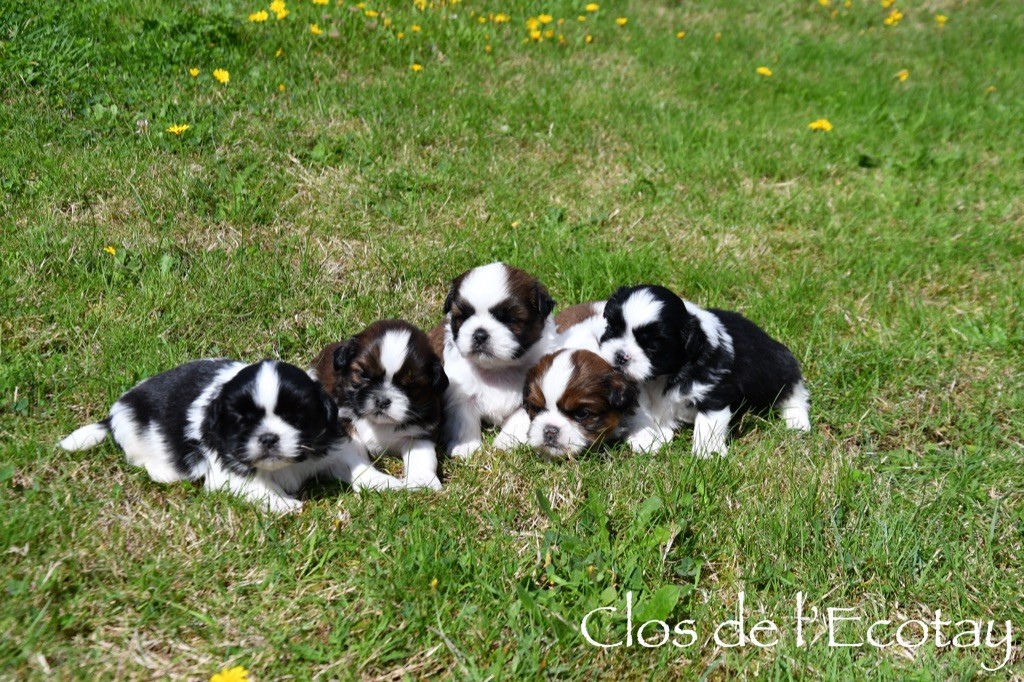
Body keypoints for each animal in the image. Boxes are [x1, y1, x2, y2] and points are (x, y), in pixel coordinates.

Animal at [55, 356, 399, 509]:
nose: (269, 438)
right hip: (135, 432)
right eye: (242, 421)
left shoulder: (329, 446)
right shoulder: (224, 469)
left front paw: (387, 483)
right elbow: (255, 485)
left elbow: (356, 466)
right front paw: (284, 504)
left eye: (296, 417)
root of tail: (113, 416)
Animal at [311, 319, 448, 489]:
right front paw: (379, 482)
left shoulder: (419, 432)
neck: (379, 424)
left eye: (410, 385)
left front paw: (421, 481)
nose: (382, 400)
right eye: (363, 375)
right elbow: (354, 460)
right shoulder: (344, 429)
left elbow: (422, 457)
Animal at [428, 260, 557, 456]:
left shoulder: (531, 395)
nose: (480, 335)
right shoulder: (460, 394)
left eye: (510, 319)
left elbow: (519, 418)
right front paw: (465, 447)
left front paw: (506, 442)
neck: (497, 368)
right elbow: (463, 421)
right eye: (464, 316)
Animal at [598, 284, 806, 454]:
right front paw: (646, 438)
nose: (620, 356)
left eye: (652, 347)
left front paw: (707, 453)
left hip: (772, 369)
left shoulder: (713, 389)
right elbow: (640, 411)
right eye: (612, 329)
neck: (661, 377)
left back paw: (797, 420)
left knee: (793, 389)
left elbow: (709, 422)